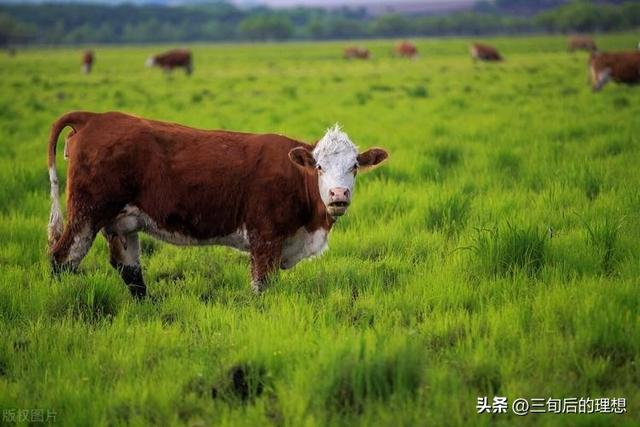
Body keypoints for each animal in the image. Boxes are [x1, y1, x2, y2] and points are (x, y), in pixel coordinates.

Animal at [47, 113, 388, 300]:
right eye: (318, 166)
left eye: (355, 166)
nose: (338, 194)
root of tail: (93, 117)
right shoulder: (265, 239)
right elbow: (261, 285)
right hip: (86, 214)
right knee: (62, 258)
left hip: (121, 223)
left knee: (130, 271)